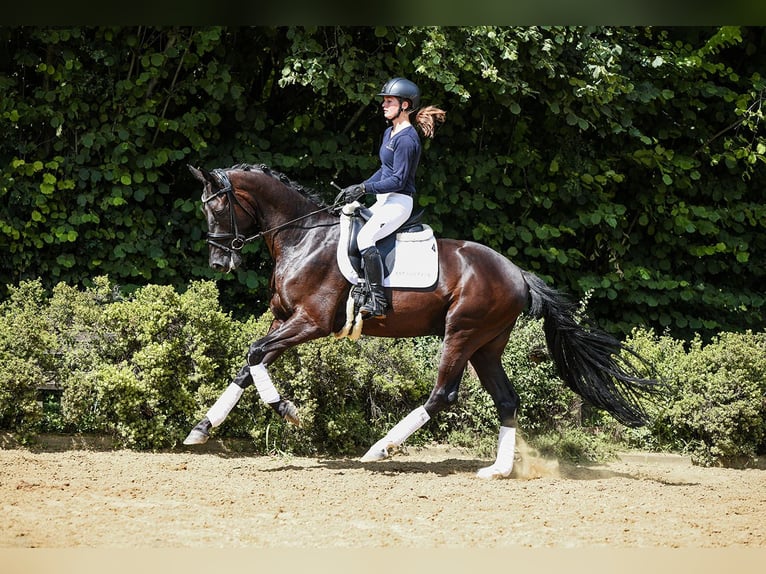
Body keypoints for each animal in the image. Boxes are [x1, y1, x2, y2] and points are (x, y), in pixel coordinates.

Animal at [183, 163, 663, 478]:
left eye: (218, 208)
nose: (218, 262)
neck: (303, 238)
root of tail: (517, 274)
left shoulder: (310, 322)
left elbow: (254, 354)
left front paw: (287, 410)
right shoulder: (283, 319)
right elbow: (249, 364)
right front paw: (202, 428)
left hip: (461, 333)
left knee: (443, 394)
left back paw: (382, 448)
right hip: (486, 345)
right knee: (506, 400)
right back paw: (498, 470)